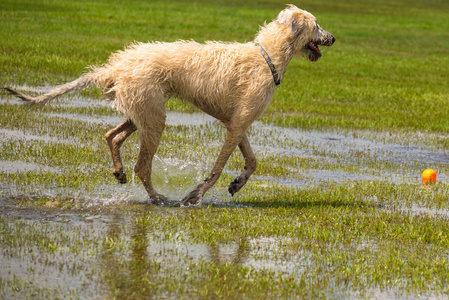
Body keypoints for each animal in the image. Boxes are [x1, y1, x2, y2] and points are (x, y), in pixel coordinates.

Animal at [3, 5, 332, 206]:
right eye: (317, 24)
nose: (333, 37)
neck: (267, 57)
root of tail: (115, 67)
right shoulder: (238, 123)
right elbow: (217, 168)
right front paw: (195, 195)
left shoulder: (237, 122)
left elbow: (251, 160)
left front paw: (237, 184)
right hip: (152, 113)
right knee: (141, 165)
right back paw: (157, 197)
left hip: (140, 110)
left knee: (113, 136)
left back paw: (119, 171)